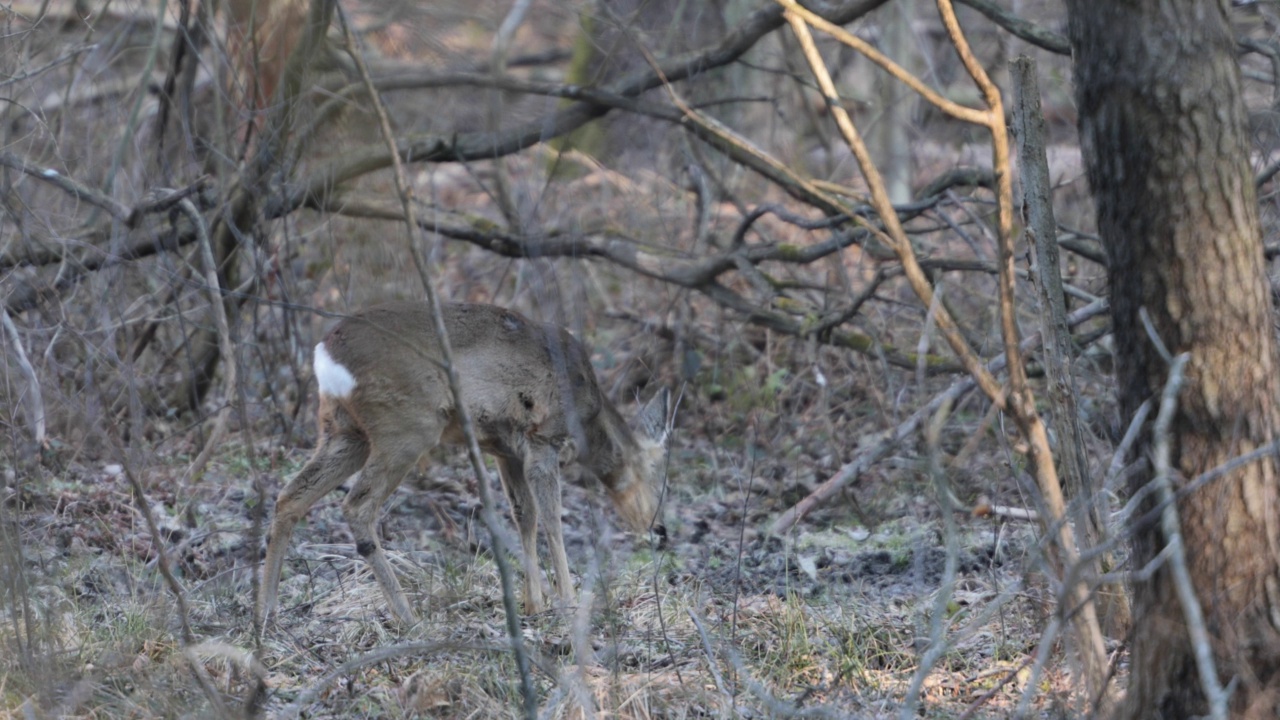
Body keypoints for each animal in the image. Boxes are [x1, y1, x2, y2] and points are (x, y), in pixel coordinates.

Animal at [254, 299, 665, 625]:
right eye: (655, 476)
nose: (658, 529)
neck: (587, 421)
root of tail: (325, 354)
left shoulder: (506, 451)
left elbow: (525, 516)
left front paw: (534, 604)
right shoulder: (543, 438)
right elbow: (552, 519)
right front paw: (567, 602)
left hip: (343, 430)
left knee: (290, 497)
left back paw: (266, 612)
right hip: (406, 427)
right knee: (357, 506)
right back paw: (408, 616)